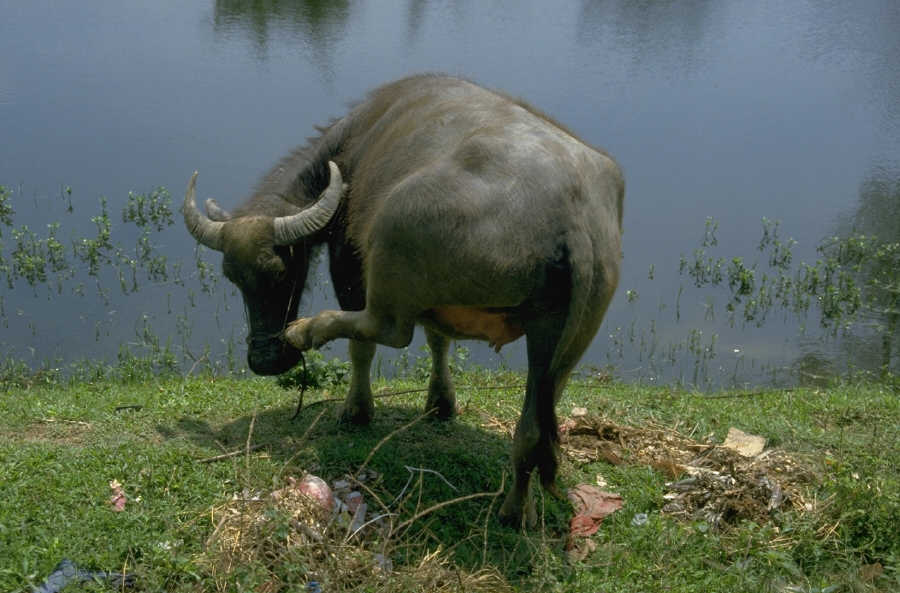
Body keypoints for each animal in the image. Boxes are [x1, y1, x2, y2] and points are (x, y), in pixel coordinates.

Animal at [182, 74, 624, 526]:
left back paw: (308, 329)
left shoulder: (349, 263)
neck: (353, 146)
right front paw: (440, 403)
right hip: (562, 341)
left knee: (388, 329)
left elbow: (364, 349)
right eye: (232, 277)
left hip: (390, 239)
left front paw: (357, 410)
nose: (265, 361)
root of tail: (574, 219)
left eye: (280, 271)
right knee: (533, 427)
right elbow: (438, 339)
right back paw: (516, 511)